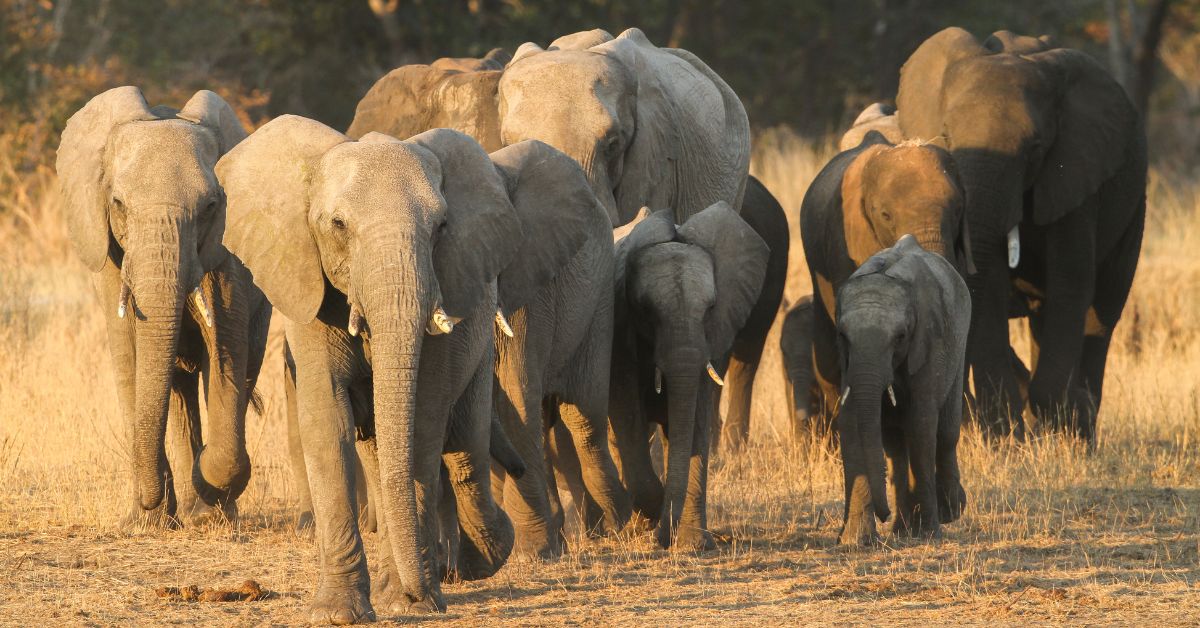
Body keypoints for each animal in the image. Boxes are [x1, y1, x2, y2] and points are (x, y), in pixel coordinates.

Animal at [56, 86, 269, 529]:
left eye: (210, 207)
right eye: (118, 203)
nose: (150, 503)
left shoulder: (228, 260)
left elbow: (226, 352)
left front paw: (207, 495)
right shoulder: (111, 256)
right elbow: (130, 355)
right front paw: (145, 522)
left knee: (237, 372)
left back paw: (205, 508)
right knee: (179, 389)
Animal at [217, 117, 593, 622]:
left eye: (441, 228)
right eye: (337, 225)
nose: (420, 594)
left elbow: (423, 424)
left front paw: (408, 599)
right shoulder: (306, 290)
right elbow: (328, 423)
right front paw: (339, 613)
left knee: (462, 445)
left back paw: (482, 556)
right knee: (387, 449)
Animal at [592, 203, 769, 550]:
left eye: (711, 307)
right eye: (646, 309)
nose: (663, 539)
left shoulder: (710, 338)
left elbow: (696, 419)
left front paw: (694, 544)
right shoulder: (620, 333)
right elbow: (627, 413)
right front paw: (656, 512)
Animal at [834, 235, 969, 545]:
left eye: (901, 337)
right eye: (842, 336)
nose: (883, 515)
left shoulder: (929, 343)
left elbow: (921, 424)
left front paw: (928, 534)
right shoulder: (848, 361)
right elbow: (850, 422)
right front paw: (855, 542)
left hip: (959, 341)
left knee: (946, 432)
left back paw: (950, 512)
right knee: (896, 446)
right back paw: (901, 530)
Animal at [896, 28, 1147, 441]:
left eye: (1035, 149)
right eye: (945, 135)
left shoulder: (1076, 174)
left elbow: (1071, 281)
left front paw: (1056, 419)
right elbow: (991, 286)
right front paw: (1007, 434)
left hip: (1133, 207)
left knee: (1102, 312)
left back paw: (1081, 428)